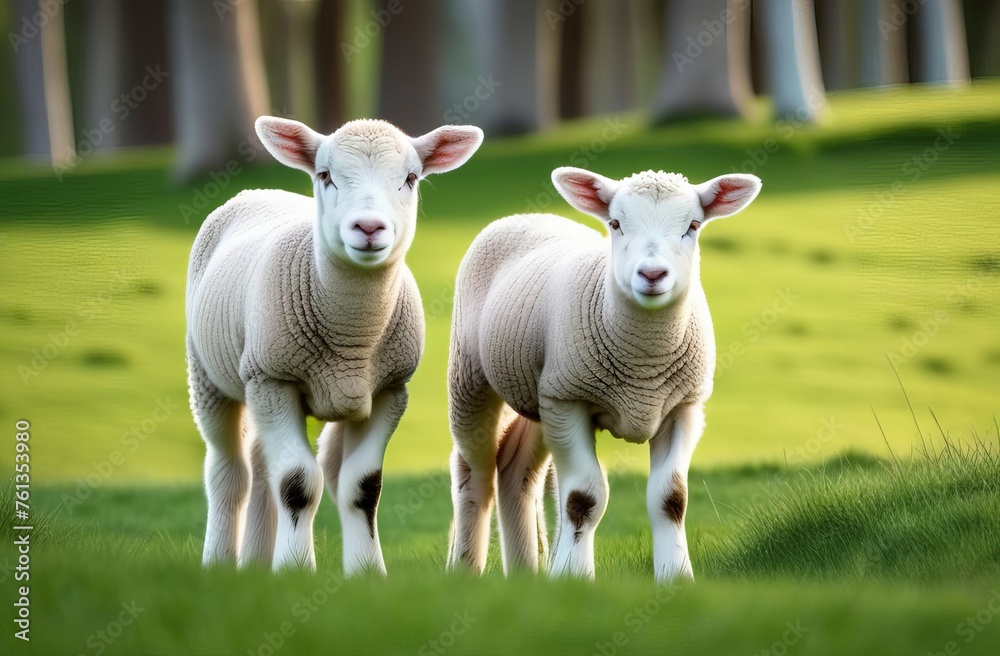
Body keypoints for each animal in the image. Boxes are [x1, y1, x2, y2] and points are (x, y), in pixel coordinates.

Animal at [186, 116, 483, 573]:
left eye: (411, 178)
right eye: (325, 175)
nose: (369, 228)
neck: (350, 335)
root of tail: (260, 191)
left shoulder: (389, 392)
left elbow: (363, 487)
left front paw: (366, 572)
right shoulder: (274, 378)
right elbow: (297, 483)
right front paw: (294, 568)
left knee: (262, 467)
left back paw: (255, 564)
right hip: (210, 377)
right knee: (228, 472)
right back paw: (219, 562)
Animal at [446, 166, 761, 582]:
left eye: (692, 226)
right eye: (615, 223)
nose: (652, 273)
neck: (644, 364)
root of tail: (527, 215)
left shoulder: (684, 408)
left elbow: (671, 498)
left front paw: (676, 577)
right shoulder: (570, 401)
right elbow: (582, 498)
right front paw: (573, 578)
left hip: (540, 392)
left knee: (513, 470)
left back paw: (526, 575)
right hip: (472, 377)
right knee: (473, 473)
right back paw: (465, 571)